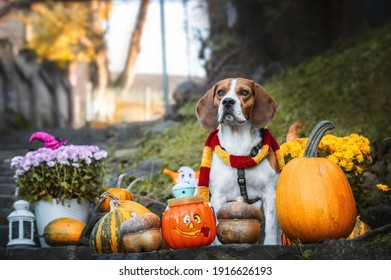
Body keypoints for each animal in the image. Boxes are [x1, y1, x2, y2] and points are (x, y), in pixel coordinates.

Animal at [198, 77, 284, 245]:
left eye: (244, 92)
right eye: (220, 92)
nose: (227, 102)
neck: (239, 144)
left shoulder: (269, 193)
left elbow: (271, 228)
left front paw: (270, 244)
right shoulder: (218, 195)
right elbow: (218, 224)